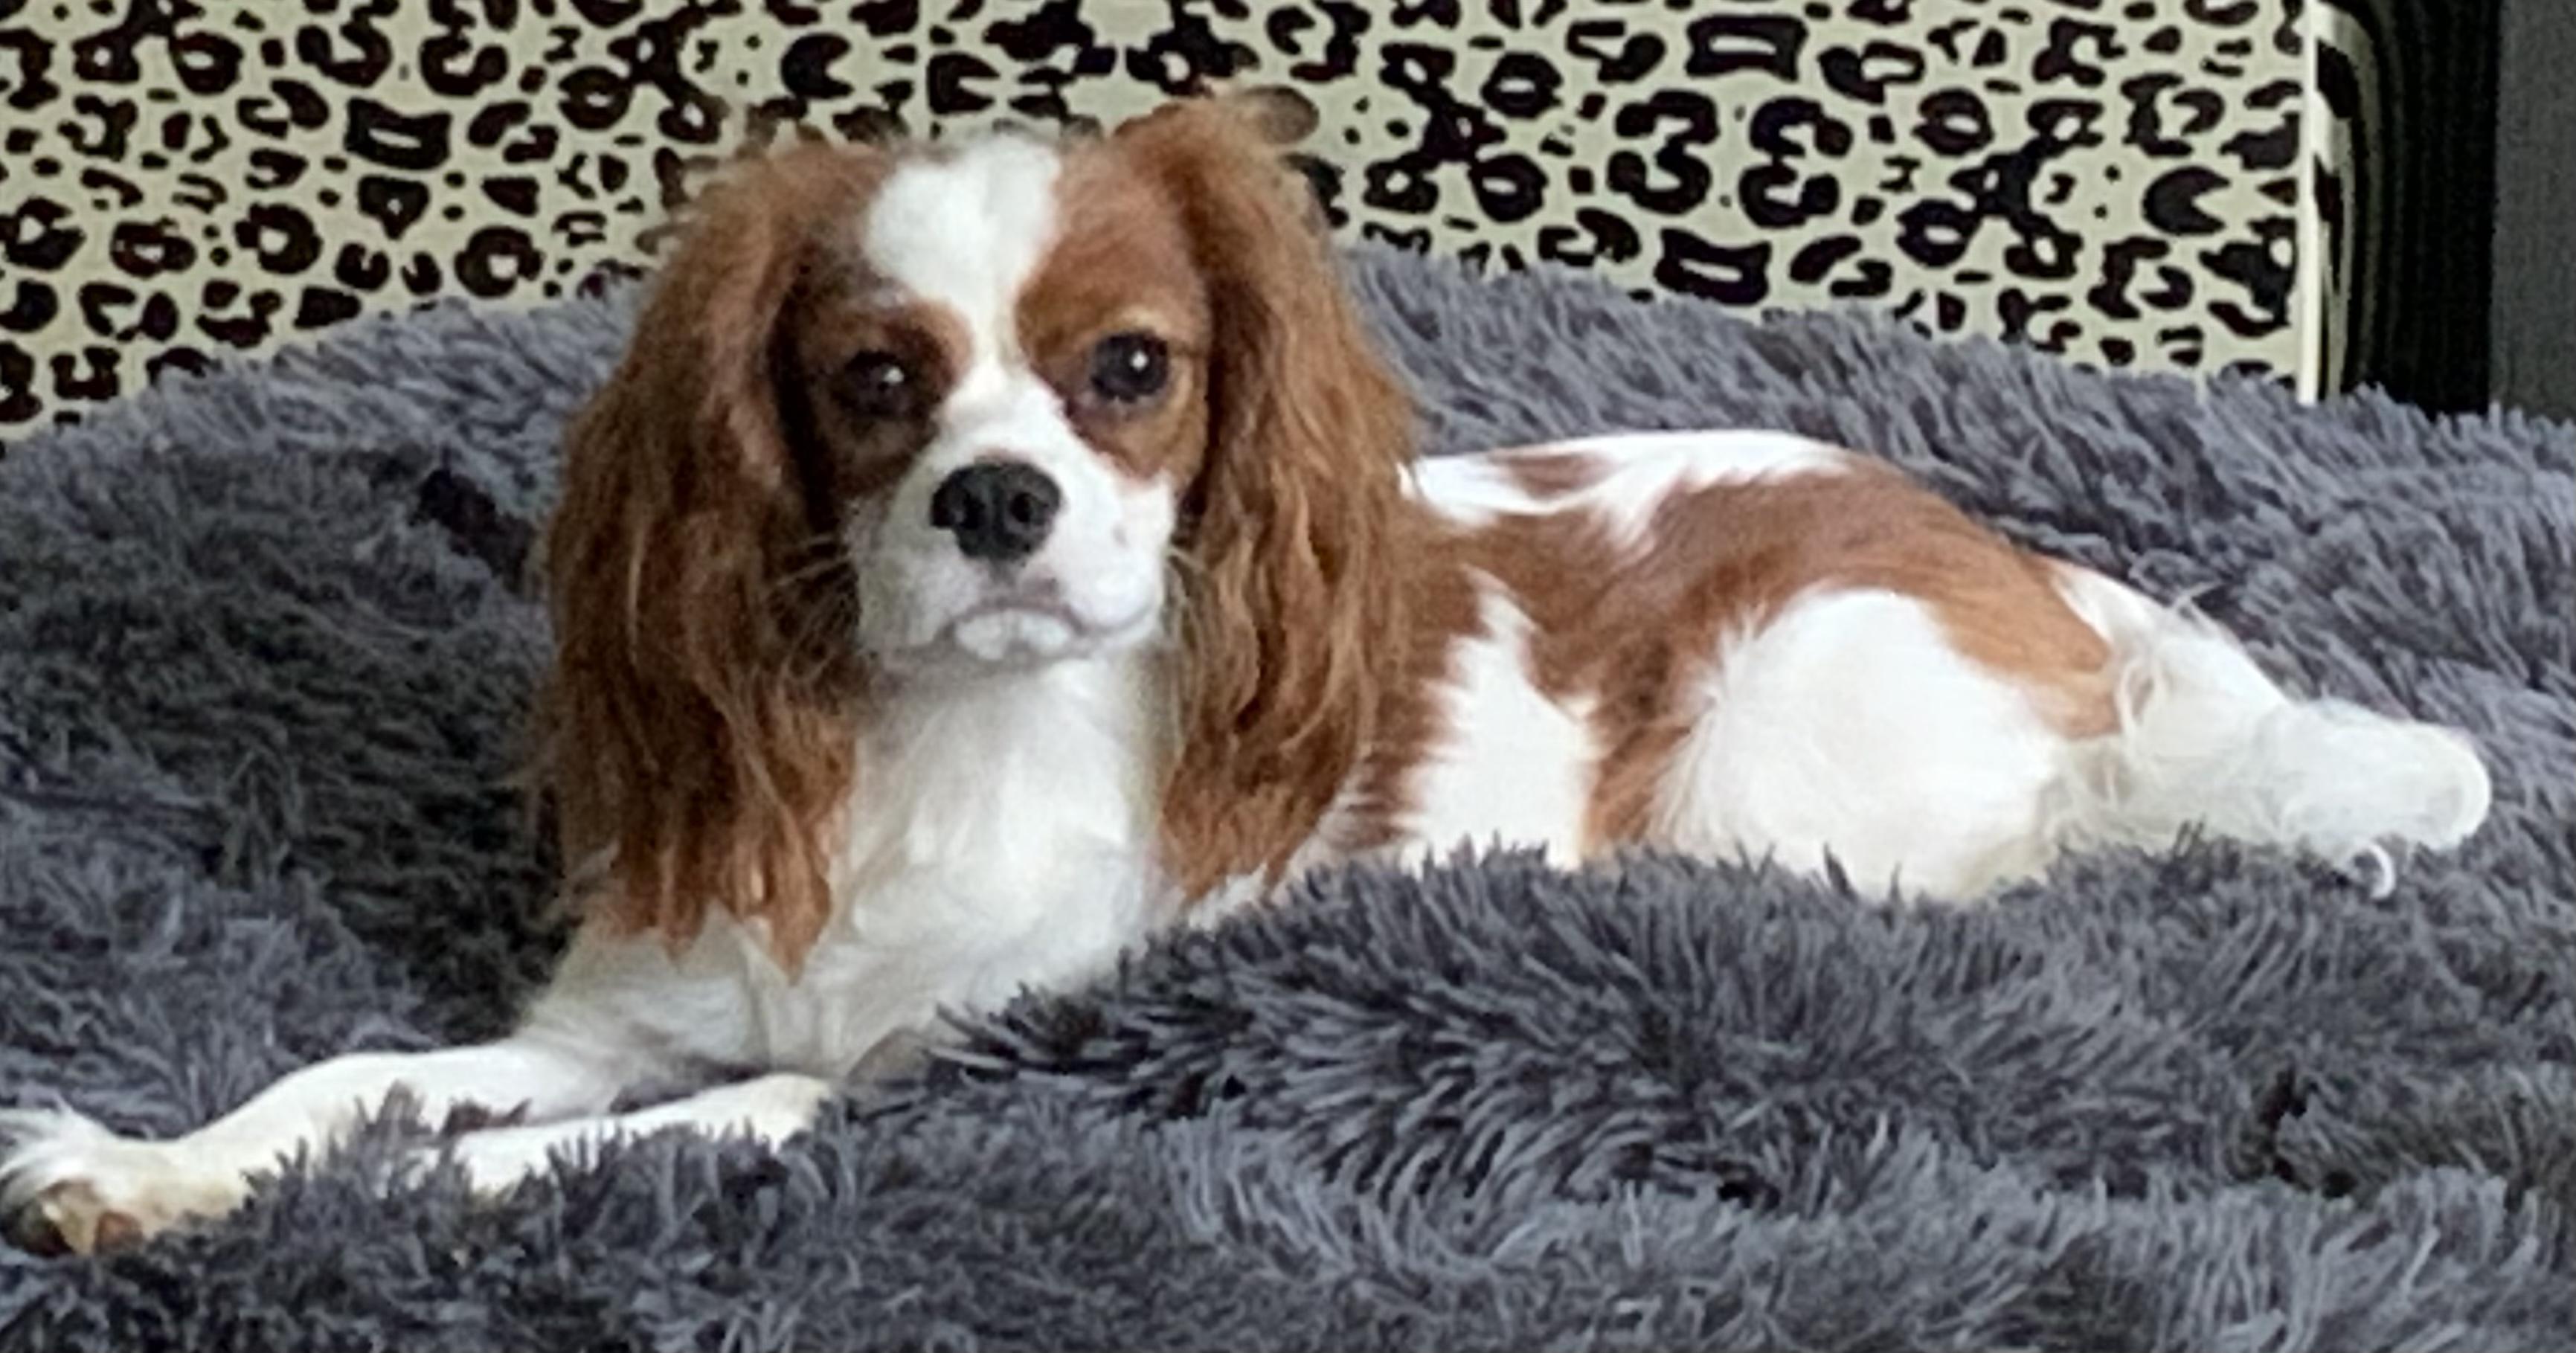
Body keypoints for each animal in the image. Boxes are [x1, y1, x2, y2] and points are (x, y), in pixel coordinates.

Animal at [0, 91, 2491, 1253]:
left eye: (1126, 371)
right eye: (871, 385)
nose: (996, 501)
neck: (935, 733)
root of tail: (2030, 567)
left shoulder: (887, 1081)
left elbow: (551, 1160)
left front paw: (334, 1211)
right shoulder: (621, 1009)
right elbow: (358, 1080)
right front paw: (148, 1164)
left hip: (1778, 748)